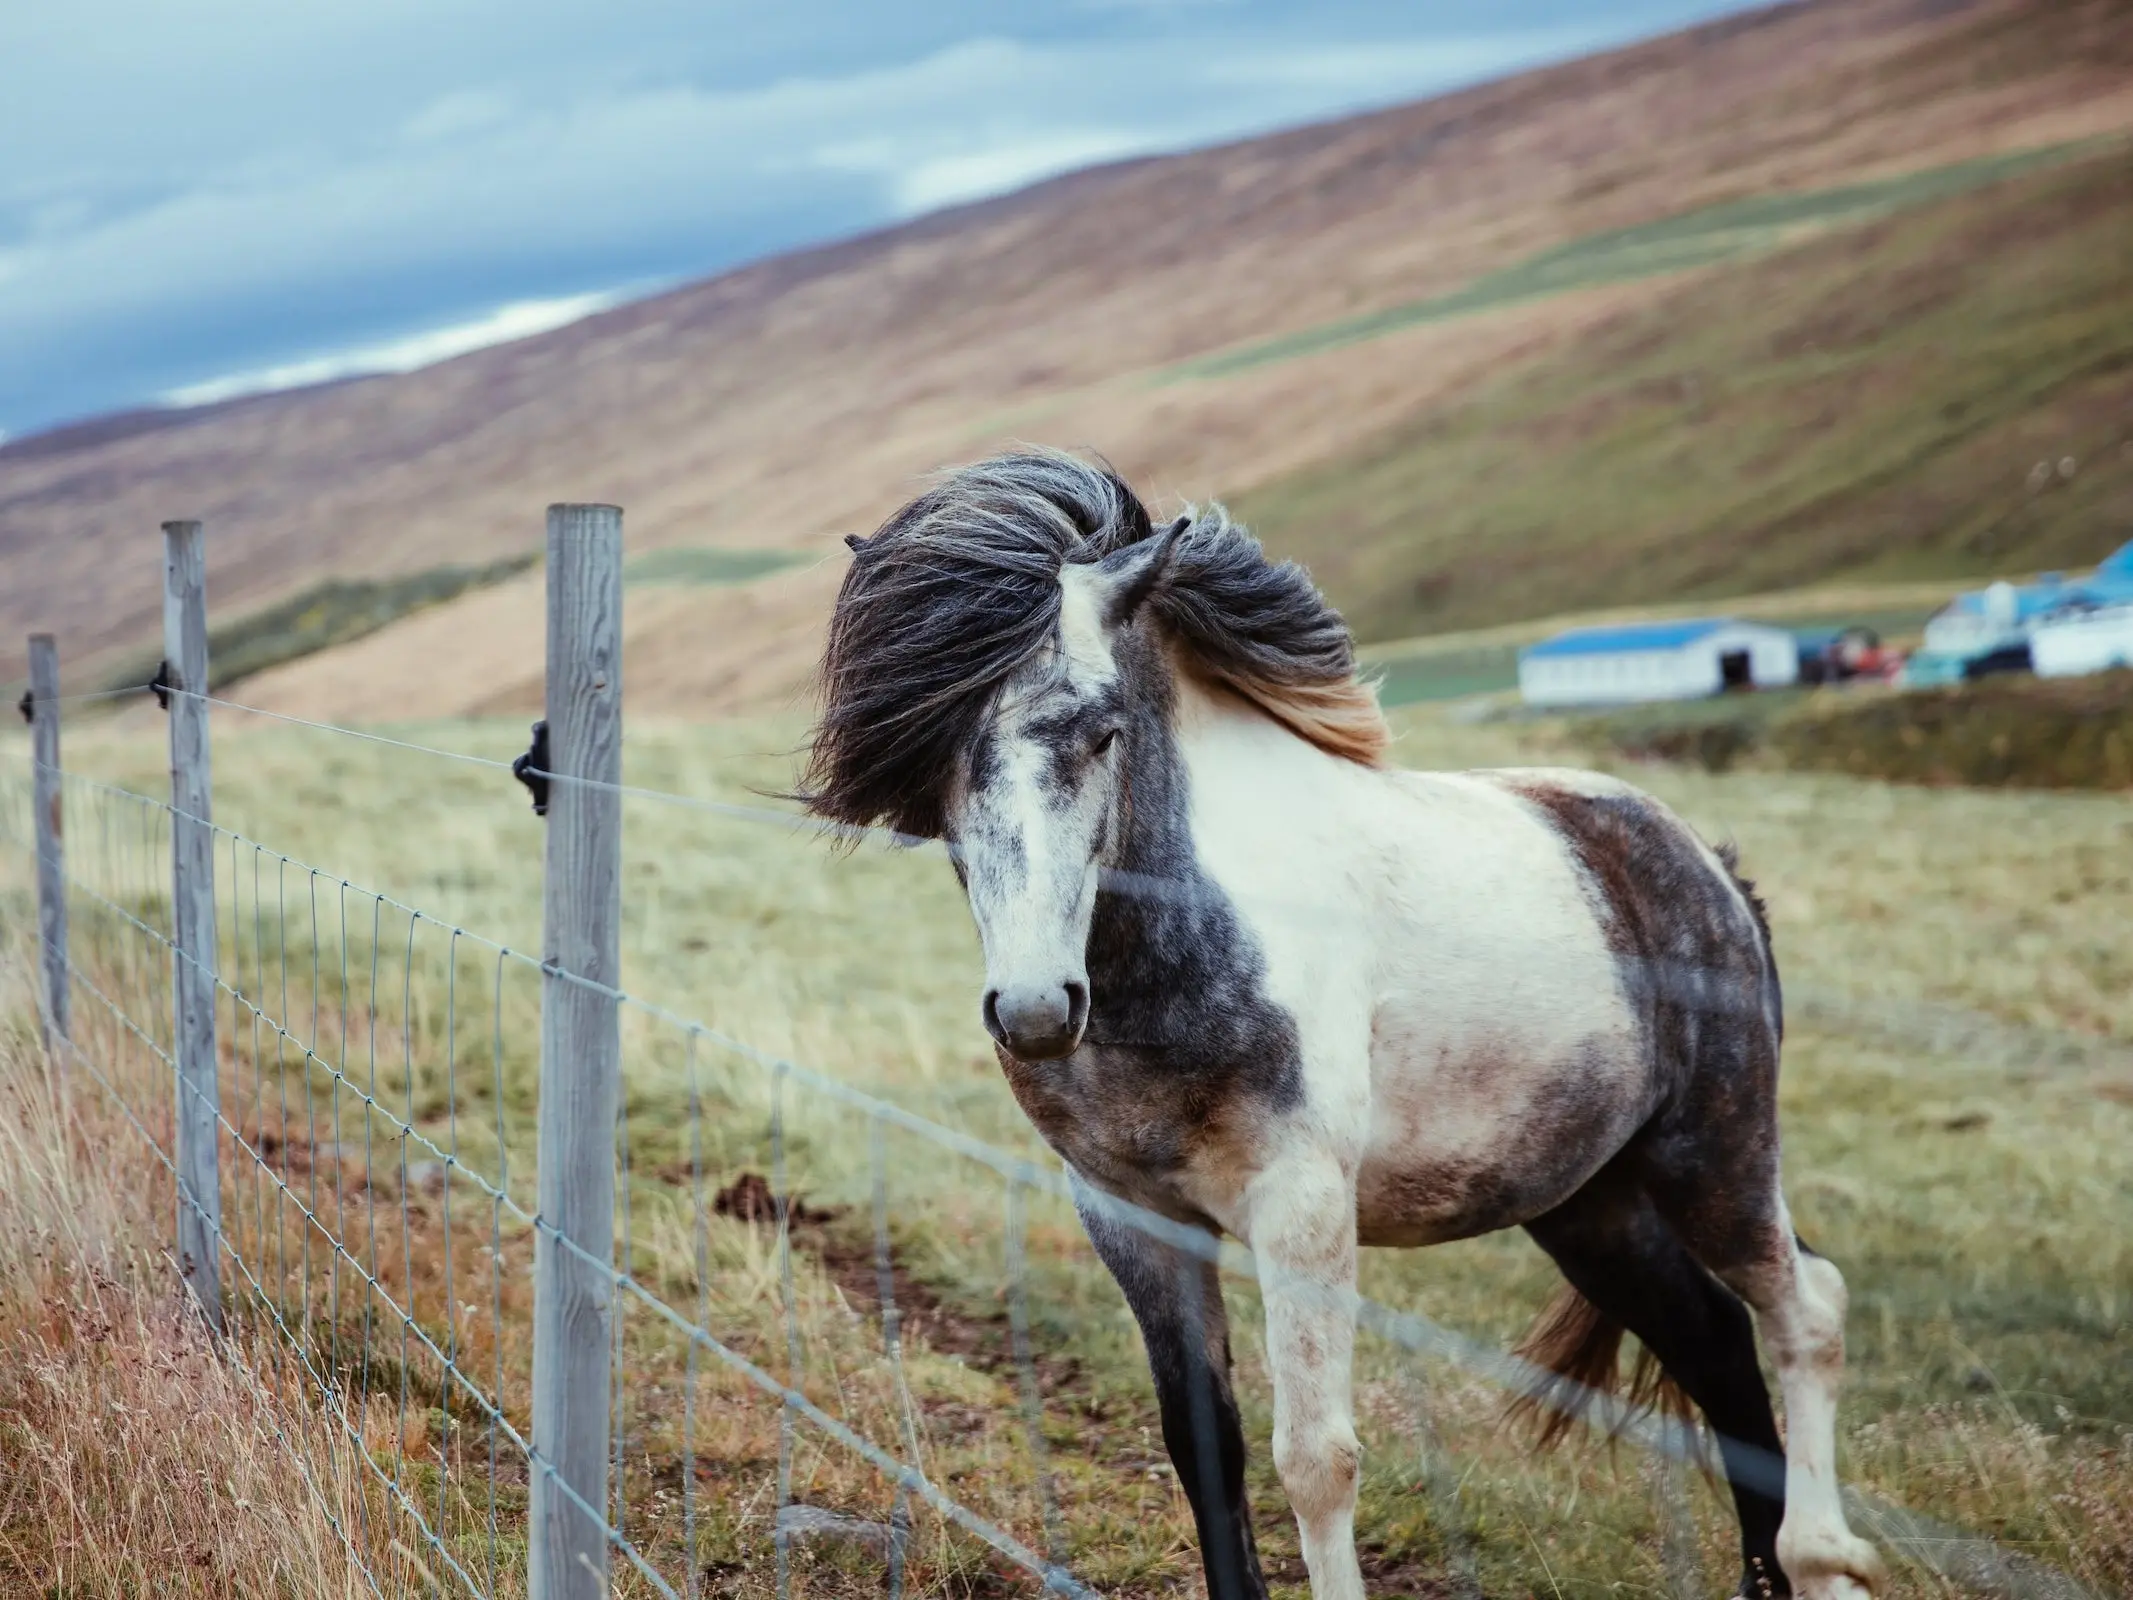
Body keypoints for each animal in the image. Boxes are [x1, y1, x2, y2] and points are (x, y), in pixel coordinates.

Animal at [802, 454, 1885, 1600]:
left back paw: (1821, 1556)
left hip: (1712, 1156)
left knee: (1805, 1310)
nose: (1036, 1009)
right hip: (1589, 1201)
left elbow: (1314, 1460)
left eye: (1101, 731)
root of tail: (1708, 867)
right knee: (1715, 1346)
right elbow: (1204, 1445)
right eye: (934, 752)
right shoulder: (1131, 1215)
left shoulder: (1302, 1205)